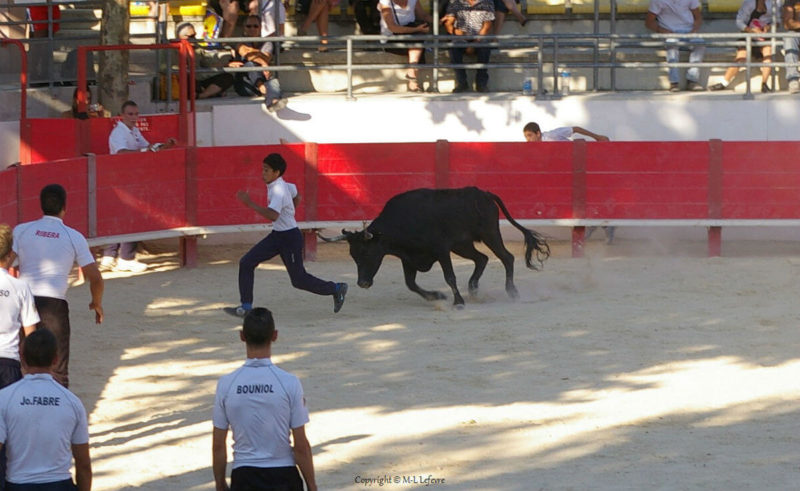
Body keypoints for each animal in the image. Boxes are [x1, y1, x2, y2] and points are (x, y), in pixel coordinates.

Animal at [318, 187, 552, 308]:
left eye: (367, 252)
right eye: (353, 255)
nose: (363, 283)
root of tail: (484, 193)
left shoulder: (441, 250)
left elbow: (450, 276)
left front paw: (458, 302)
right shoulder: (408, 257)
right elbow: (411, 283)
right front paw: (436, 296)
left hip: (490, 233)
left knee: (506, 258)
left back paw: (512, 292)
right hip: (463, 245)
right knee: (482, 259)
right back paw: (473, 289)